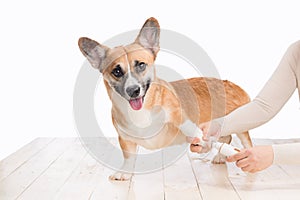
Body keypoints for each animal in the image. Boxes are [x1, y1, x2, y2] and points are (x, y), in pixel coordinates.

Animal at [78, 17, 252, 181]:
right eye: (117, 71)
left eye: (141, 65)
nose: (133, 90)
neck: (140, 112)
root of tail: (232, 84)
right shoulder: (125, 139)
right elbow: (128, 157)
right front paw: (124, 173)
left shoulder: (178, 114)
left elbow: (190, 127)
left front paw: (203, 139)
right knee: (227, 137)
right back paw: (220, 156)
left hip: (241, 126)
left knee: (244, 141)